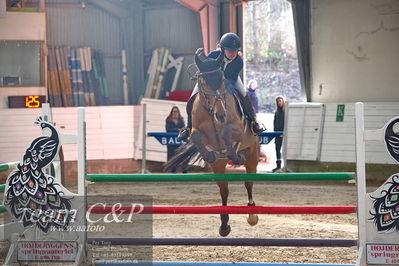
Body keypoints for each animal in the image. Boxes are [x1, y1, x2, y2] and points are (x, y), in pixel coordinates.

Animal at [165, 48, 260, 237]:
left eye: (222, 80)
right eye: (203, 83)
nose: (221, 115)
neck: (211, 112)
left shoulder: (238, 129)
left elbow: (227, 132)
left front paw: (233, 153)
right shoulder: (197, 131)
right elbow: (195, 136)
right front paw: (208, 155)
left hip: (252, 153)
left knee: (248, 182)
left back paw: (252, 215)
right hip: (219, 166)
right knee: (224, 189)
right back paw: (224, 225)